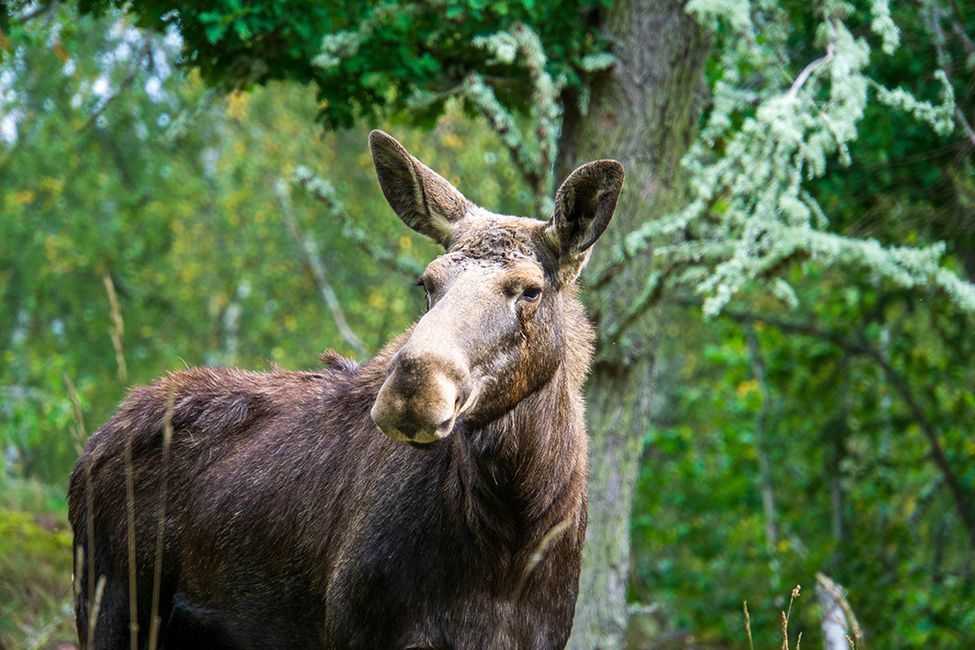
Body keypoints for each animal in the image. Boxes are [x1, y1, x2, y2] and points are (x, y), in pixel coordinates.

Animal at [68, 130, 624, 649]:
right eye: (426, 282)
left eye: (530, 289)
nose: (413, 390)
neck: (514, 528)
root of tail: (98, 440)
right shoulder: (362, 632)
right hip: (107, 606)